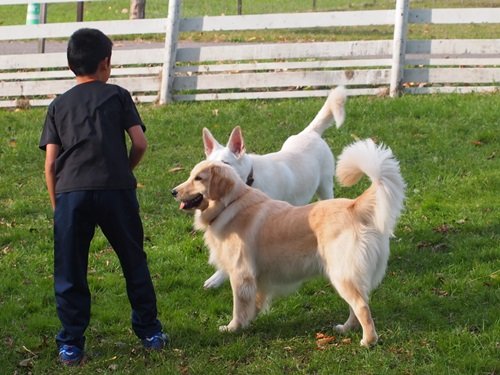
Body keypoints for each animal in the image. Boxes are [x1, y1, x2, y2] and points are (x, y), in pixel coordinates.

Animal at [172, 140, 406, 348]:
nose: (173, 192)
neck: (230, 204)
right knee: (358, 304)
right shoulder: (257, 279)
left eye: (198, 178)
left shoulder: (241, 274)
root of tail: (354, 206)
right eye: (190, 176)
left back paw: (368, 341)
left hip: (342, 274)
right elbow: (254, 304)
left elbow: (239, 307)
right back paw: (346, 328)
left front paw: (233, 328)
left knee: (361, 306)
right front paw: (248, 322)